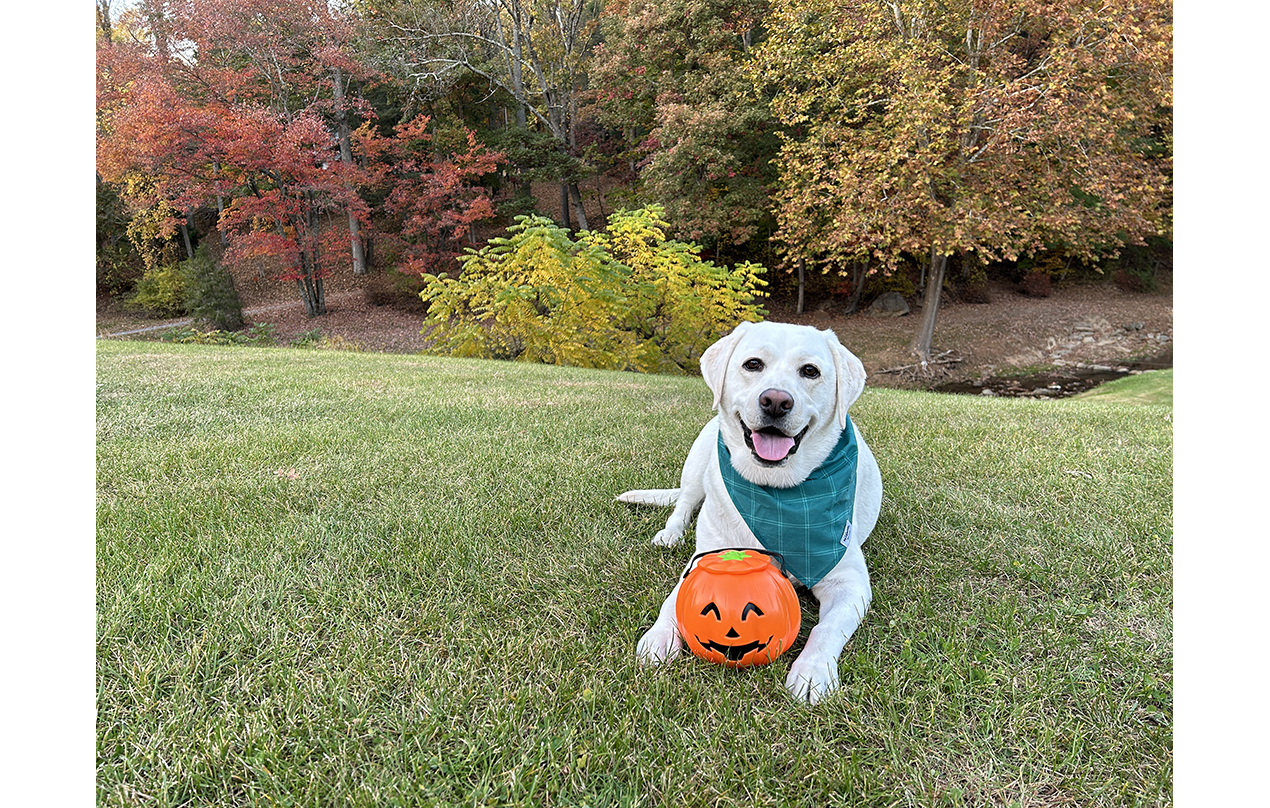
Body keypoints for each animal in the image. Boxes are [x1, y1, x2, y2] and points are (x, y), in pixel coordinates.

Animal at [617, 320, 883, 701]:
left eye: (810, 371)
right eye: (753, 364)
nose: (776, 401)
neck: (776, 491)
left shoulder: (850, 583)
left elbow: (826, 630)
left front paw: (813, 670)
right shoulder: (702, 560)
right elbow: (673, 600)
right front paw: (660, 635)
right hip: (699, 457)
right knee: (683, 503)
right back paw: (670, 533)